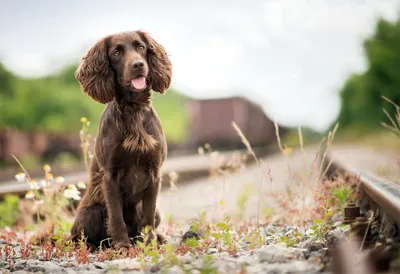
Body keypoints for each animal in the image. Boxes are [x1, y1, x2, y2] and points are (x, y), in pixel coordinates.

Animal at [71, 30, 171, 250]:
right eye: (116, 53)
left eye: (141, 47)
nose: (138, 65)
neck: (133, 108)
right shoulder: (110, 175)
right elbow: (116, 215)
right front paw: (122, 245)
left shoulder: (154, 173)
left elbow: (148, 216)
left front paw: (150, 244)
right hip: (90, 213)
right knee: (78, 237)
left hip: (158, 211)